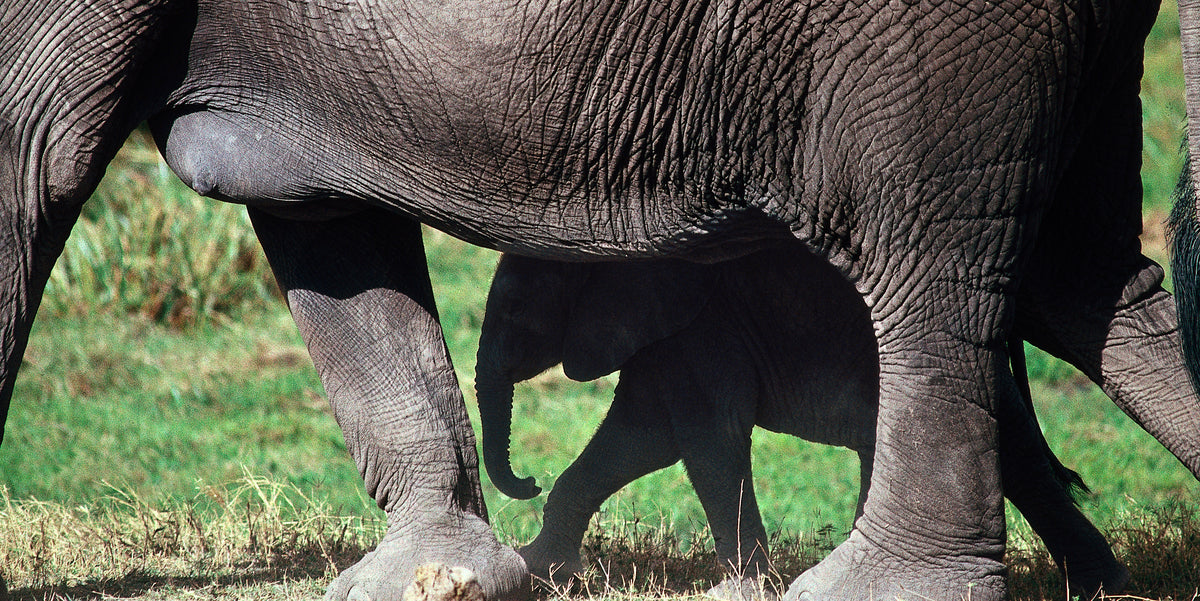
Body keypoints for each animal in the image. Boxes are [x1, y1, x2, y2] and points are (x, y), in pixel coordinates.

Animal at [475, 247, 1128, 599]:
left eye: (514, 308)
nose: (526, 479)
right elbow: (640, 439)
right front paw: (541, 568)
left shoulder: (706, 331)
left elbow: (706, 442)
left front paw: (739, 591)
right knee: (1016, 460)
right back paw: (1105, 588)